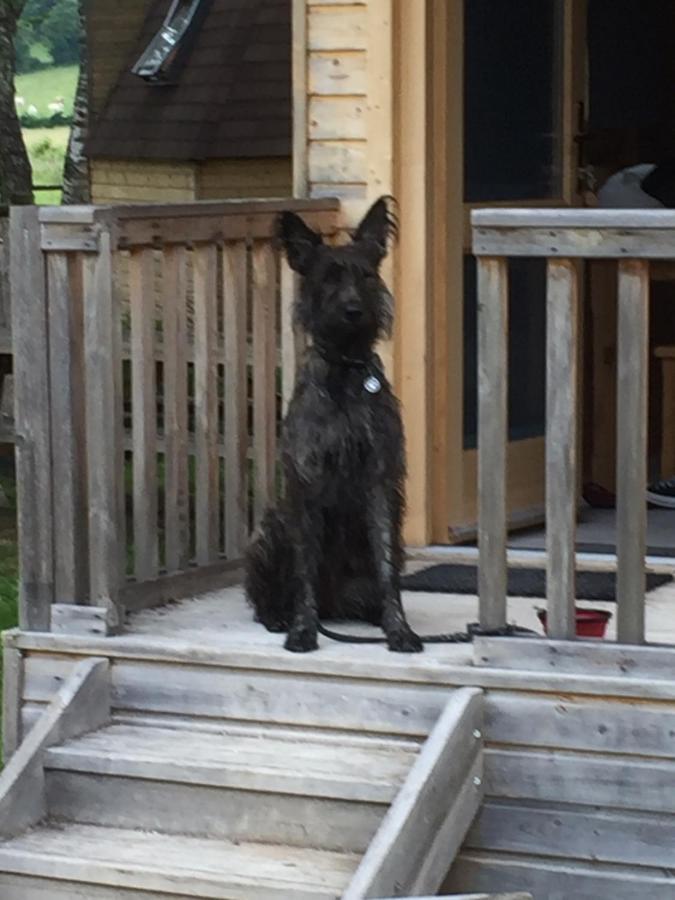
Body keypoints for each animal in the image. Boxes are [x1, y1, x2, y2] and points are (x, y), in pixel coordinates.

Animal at [246, 197, 420, 652]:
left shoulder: (380, 481)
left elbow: (386, 567)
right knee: (268, 594)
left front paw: (399, 628)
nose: (354, 311)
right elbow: (304, 569)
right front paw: (303, 629)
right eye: (329, 278)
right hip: (272, 526)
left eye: (365, 275)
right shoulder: (306, 484)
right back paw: (278, 615)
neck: (345, 370)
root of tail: (334, 603)